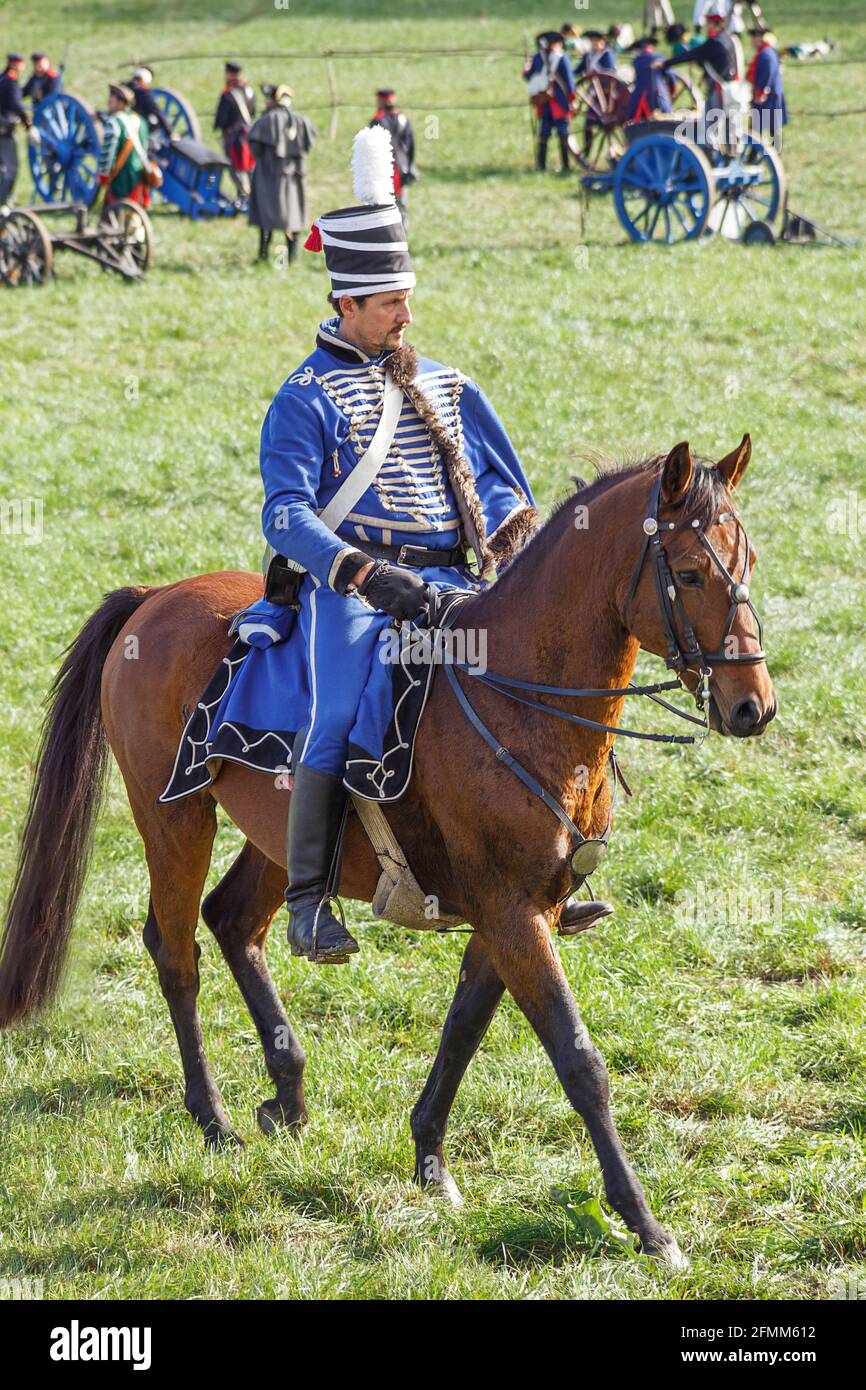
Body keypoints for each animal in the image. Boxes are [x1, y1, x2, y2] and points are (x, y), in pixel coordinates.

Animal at [0, 439, 772, 1267]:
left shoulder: (518, 914)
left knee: (235, 920)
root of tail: (156, 597)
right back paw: (213, 1120)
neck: (519, 696)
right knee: (175, 950)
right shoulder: (512, 915)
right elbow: (579, 1060)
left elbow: (463, 1032)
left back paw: (289, 1094)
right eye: (688, 573)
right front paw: (645, 1223)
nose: (752, 707)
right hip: (173, 816)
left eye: (748, 560)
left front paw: (430, 1160)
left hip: (278, 843)